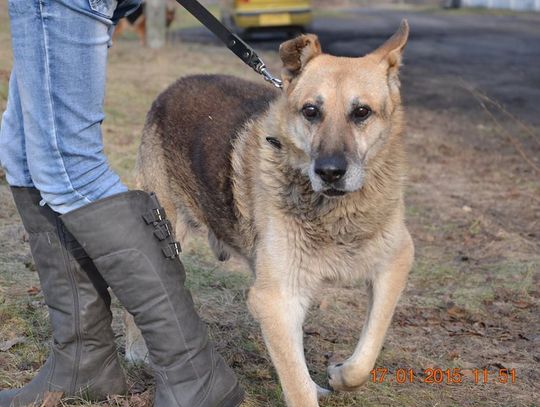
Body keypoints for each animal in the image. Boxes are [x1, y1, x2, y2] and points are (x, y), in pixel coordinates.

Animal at [133, 19, 416, 407]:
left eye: (361, 112)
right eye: (311, 111)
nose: (329, 172)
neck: (335, 215)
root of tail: (174, 86)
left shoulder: (395, 264)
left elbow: (364, 357)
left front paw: (339, 374)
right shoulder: (275, 299)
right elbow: (297, 387)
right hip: (167, 228)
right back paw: (136, 353)